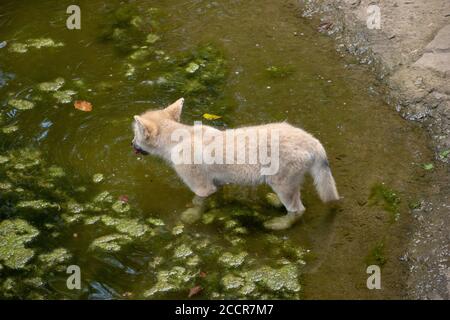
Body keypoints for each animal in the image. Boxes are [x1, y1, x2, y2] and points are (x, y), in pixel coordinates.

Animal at [132, 98, 340, 230]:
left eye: (135, 135)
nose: (131, 144)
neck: (178, 139)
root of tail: (312, 141)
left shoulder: (202, 188)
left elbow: (198, 204)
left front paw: (191, 216)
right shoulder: (217, 183)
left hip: (283, 184)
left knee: (297, 210)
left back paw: (278, 224)